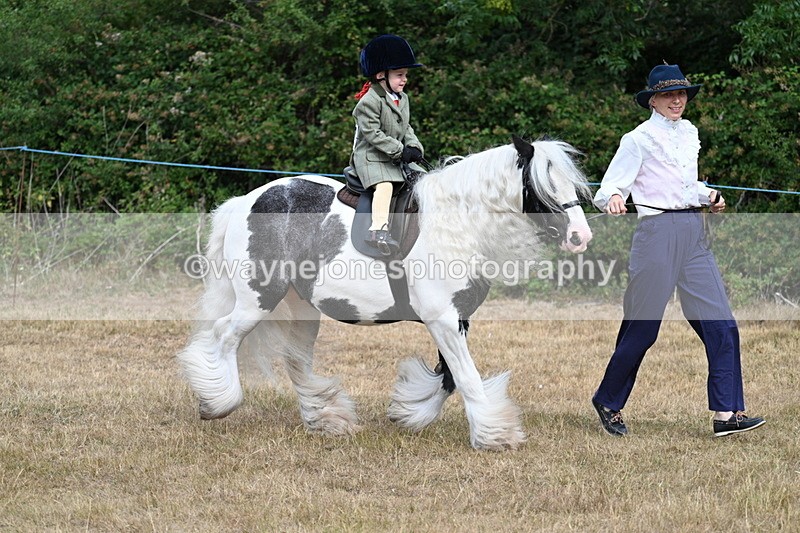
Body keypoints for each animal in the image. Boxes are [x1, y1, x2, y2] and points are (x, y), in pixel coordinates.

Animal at [178, 136, 593, 450]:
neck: (457, 224)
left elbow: (449, 377)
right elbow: (466, 377)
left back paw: (327, 417)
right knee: (224, 335)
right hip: (258, 298)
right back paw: (217, 402)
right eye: (542, 185)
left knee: (296, 360)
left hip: (302, 307)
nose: (580, 236)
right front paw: (494, 434)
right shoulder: (442, 319)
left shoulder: (457, 319)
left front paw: (411, 412)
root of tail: (247, 201)